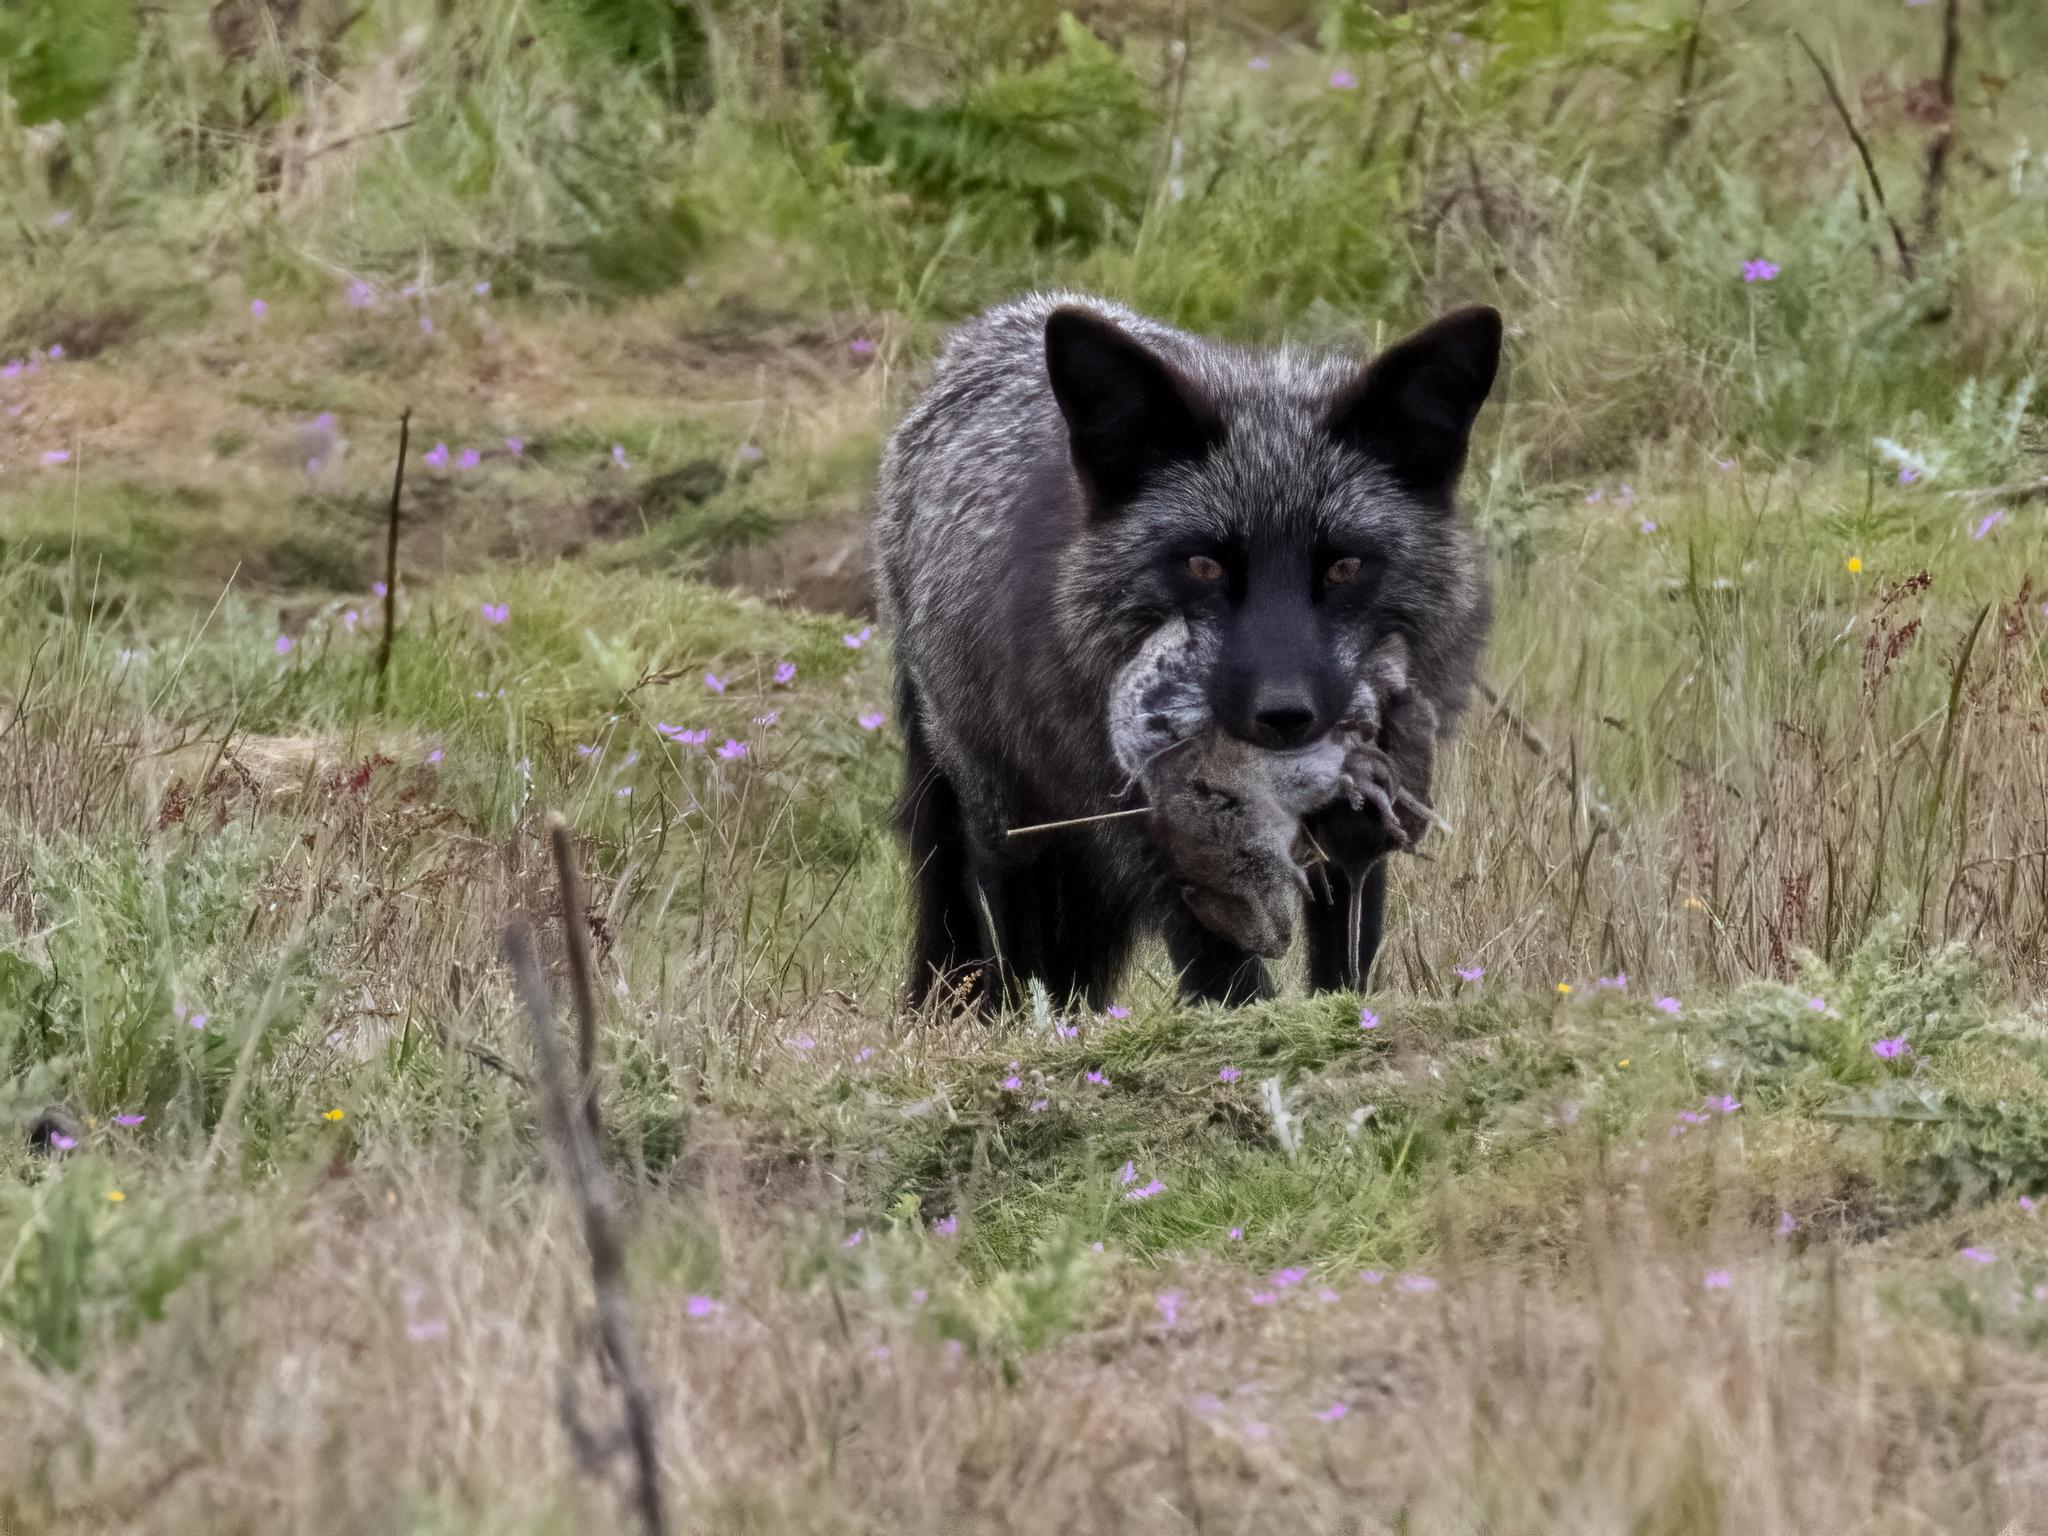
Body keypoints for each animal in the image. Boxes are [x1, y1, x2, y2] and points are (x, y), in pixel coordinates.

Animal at [872, 292, 1499, 1010]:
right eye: (1203, 565)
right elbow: (1227, 970)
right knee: (1014, 935)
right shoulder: (1160, 833)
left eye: (1345, 567)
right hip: (1002, 812)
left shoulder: (1356, 823)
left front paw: (1343, 1015)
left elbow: (1346, 951)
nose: (1285, 716)